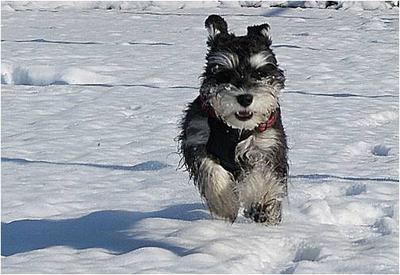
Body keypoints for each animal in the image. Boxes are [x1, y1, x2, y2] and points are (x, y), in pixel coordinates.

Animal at [178, 15, 288, 225]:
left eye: (260, 73)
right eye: (224, 73)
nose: (245, 98)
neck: (235, 129)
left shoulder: (267, 147)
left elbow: (263, 178)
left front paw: (262, 206)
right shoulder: (197, 139)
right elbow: (212, 172)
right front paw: (225, 204)